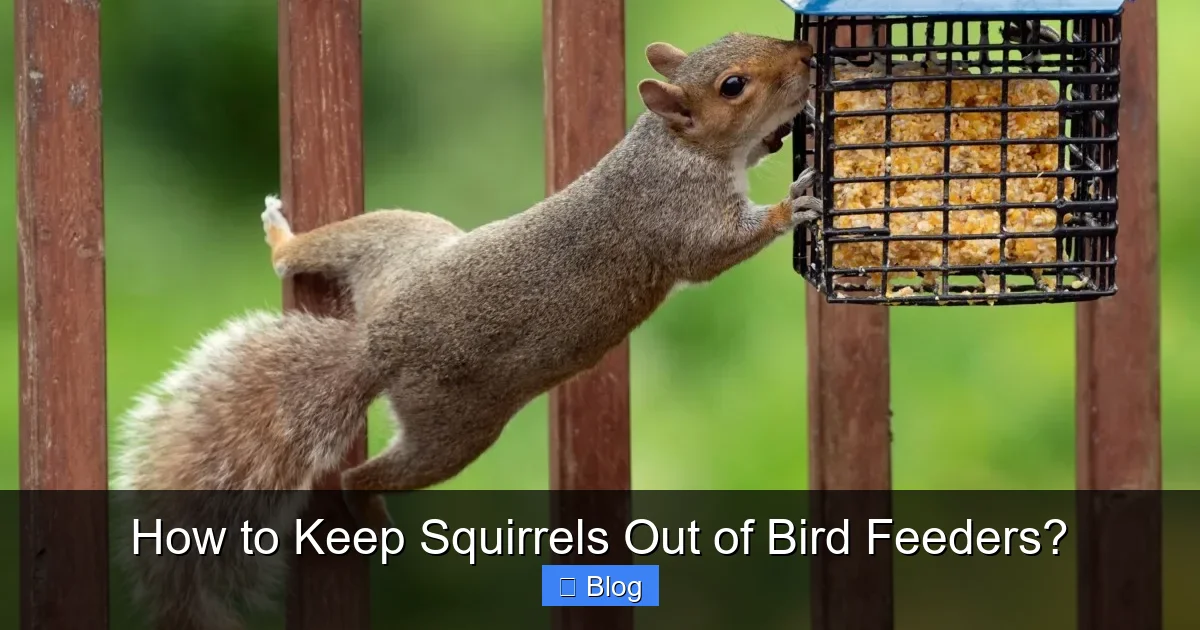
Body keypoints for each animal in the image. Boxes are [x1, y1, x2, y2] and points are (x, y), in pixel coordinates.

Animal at [113, 32, 821, 630]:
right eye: (734, 85)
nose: (807, 56)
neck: (675, 145)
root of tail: (376, 344)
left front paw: (780, 141)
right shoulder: (677, 215)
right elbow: (712, 254)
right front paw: (793, 203)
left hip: (398, 239)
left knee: (298, 259)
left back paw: (282, 239)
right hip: (454, 429)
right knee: (359, 477)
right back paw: (368, 511)